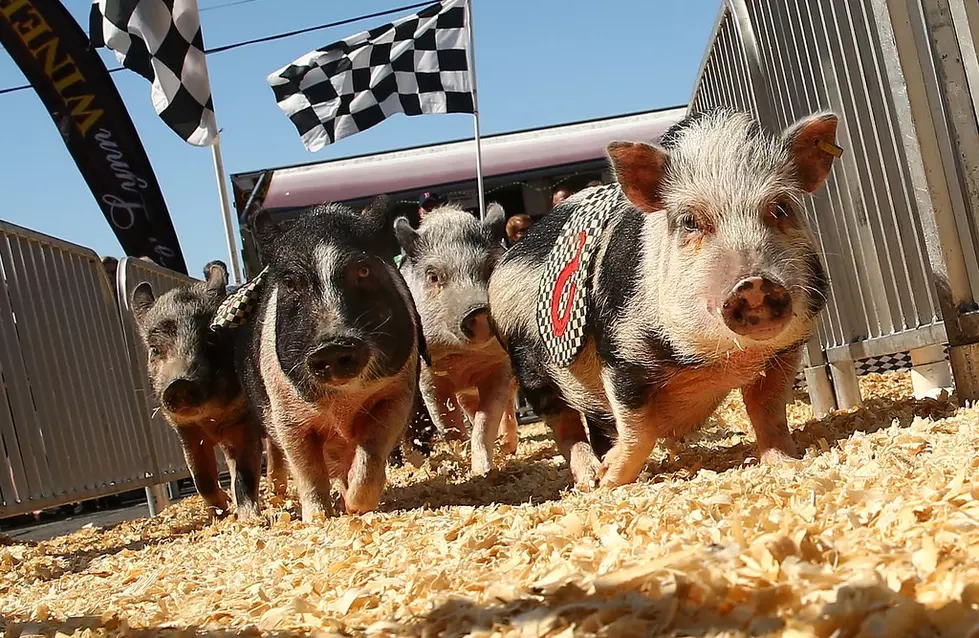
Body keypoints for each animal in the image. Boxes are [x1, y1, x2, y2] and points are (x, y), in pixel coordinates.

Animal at [130, 264, 270, 520]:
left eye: (211, 339)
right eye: (155, 349)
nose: (179, 384)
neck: (210, 420)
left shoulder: (244, 423)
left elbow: (245, 474)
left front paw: (250, 518)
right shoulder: (186, 431)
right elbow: (201, 478)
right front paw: (220, 512)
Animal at [237, 201, 424, 524]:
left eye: (364, 270)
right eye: (290, 283)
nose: (332, 346)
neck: (342, 405)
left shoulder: (396, 392)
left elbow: (372, 452)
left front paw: (355, 507)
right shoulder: (286, 415)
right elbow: (307, 471)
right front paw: (317, 518)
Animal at [394, 202, 520, 478]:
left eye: (490, 268)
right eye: (433, 276)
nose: (478, 310)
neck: (464, 360)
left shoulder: (500, 367)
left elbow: (487, 419)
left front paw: (484, 470)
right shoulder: (429, 379)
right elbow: (448, 425)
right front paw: (465, 467)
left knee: (507, 406)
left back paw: (509, 447)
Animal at [490, 109, 844, 490]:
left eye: (780, 208)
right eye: (690, 221)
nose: (752, 283)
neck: (724, 359)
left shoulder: (784, 353)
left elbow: (768, 413)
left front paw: (787, 463)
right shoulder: (620, 354)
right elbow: (638, 430)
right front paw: (610, 481)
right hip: (528, 364)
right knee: (565, 423)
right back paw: (588, 481)